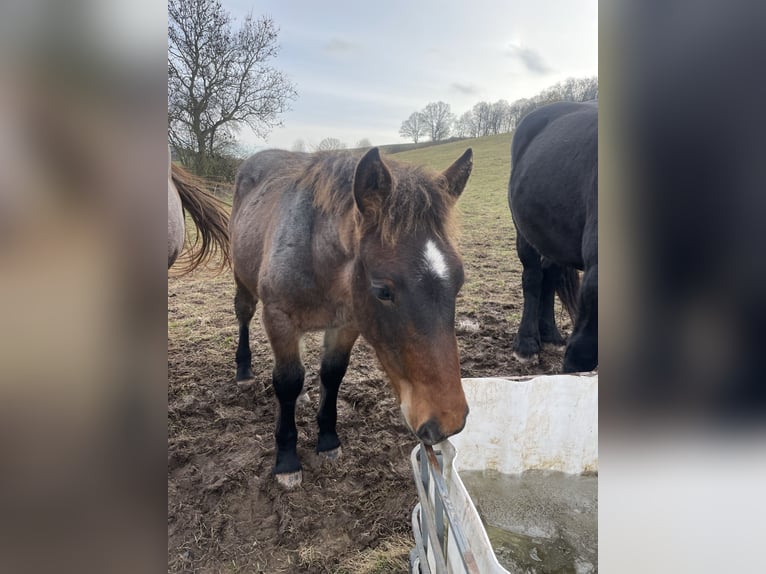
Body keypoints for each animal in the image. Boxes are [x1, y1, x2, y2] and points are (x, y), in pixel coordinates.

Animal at [230, 146, 473, 487]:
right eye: (383, 290)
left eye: (459, 281)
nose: (448, 421)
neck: (315, 256)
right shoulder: (280, 319)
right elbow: (287, 381)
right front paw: (287, 460)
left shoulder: (346, 324)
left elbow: (331, 374)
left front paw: (328, 440)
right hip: (242, 278)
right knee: (244, 313)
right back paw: (243, 370)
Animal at [507, 101, 598, 373]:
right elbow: (581, 355)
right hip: (525, 234)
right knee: (533, 278)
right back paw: (526, 344)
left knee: (550, 275)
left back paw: (550, 335)